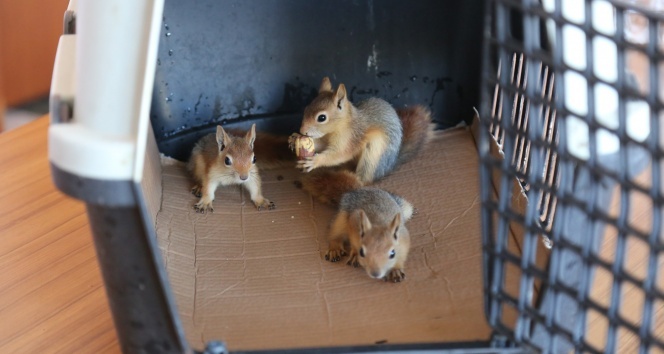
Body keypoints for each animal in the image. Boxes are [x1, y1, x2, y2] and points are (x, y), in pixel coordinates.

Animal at [294, 77, 434, 205]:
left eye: (322, 118)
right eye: (306, 109)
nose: (302, 130)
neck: (341, 125)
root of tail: (389, 167)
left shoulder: (350, 139)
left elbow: (339, 154)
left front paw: (315, 161)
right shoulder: (327, 138)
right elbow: (323, 144)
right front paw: (294, 138)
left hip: (371, 158)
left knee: (364, 182)